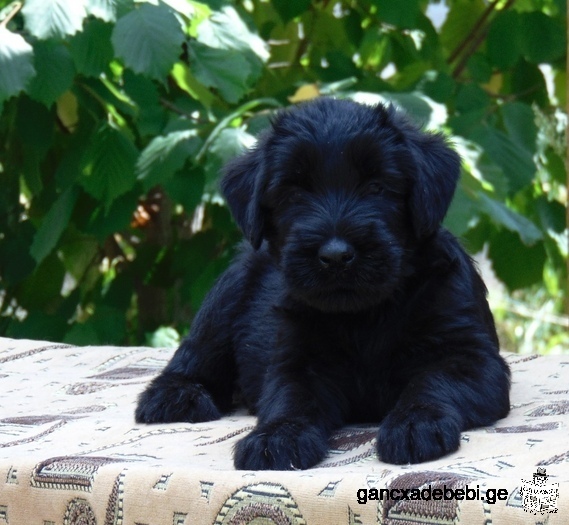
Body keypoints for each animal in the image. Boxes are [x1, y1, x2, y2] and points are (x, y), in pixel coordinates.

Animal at [136, 96, 510, 468]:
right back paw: (174, 396)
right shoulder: (297, 361)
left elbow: (433, 382)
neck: (365, 315)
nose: (335, 255)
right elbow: (291, 398)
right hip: (226, 293)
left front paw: (416, 423)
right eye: (294, 193)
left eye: (377, 186)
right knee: (195, 355)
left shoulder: (469, 357)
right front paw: (276, 436)